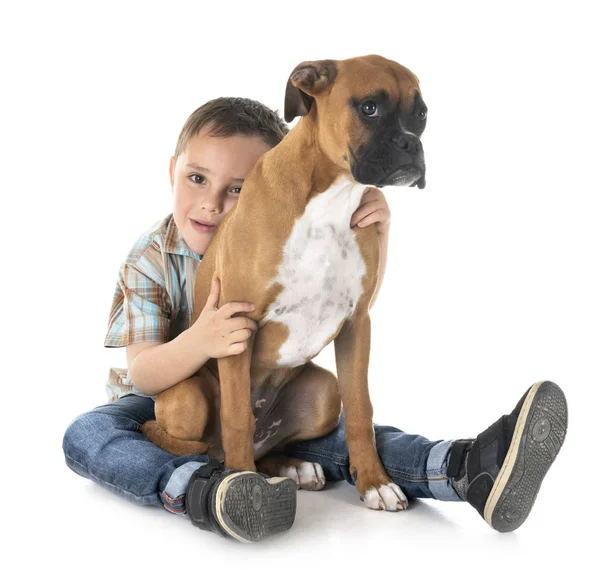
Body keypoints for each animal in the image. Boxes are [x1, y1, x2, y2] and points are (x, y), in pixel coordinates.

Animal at [142, 54, 426, 510]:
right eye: (370, 107)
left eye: (422, 114)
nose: (411, 145)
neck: (329, 202)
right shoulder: (236, 327)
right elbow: (237, 418)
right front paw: (241, 483)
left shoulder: (357, 324)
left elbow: (361, 411)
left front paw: (375, 482)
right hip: (187, 397)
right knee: (205, 438)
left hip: (325, 393)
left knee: (272, 442)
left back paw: (294, 467)